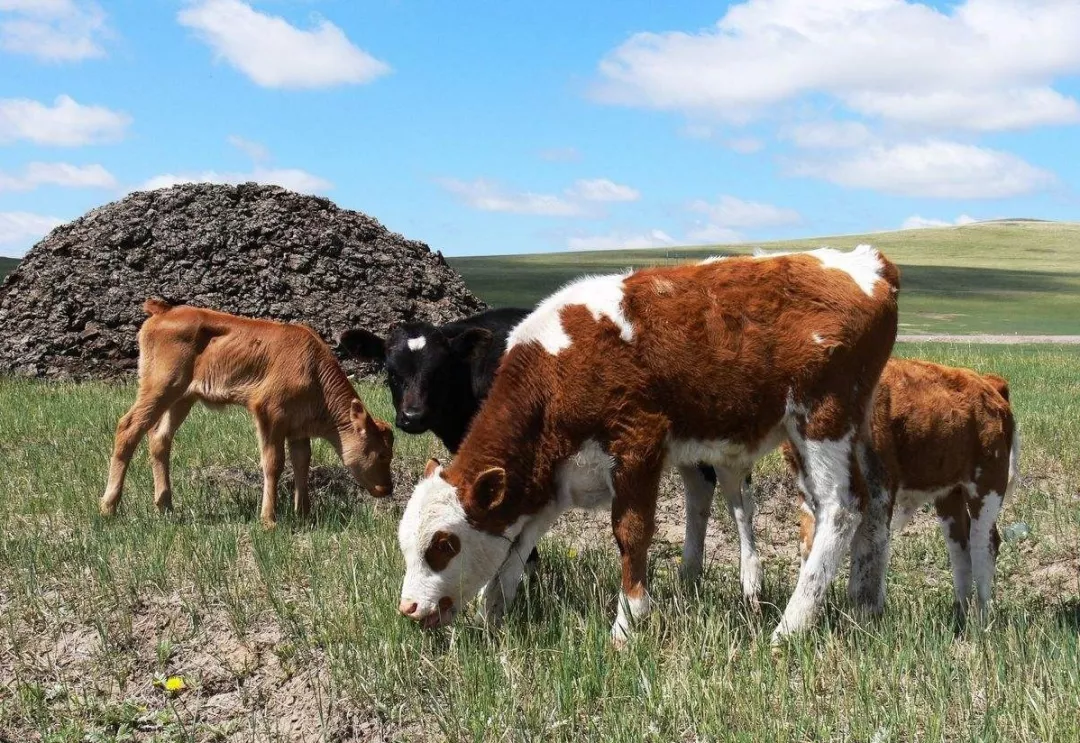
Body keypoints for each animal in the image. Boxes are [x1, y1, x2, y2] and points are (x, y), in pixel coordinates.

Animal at [100, 298, 397, 524]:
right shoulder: (268, 413)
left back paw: (166, 506)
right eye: (382, 454)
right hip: (160, 386)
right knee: (128, 427)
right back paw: (108, 507)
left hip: (182, 397)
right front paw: (269, 520)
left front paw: (303, 515)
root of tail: (164, 310)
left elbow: (302, 462)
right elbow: (273, 463)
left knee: (160, 438)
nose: (388, 488)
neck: (313, 369)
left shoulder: (298, 428)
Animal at [393, 245, 898, 643]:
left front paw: (628, 622)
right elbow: (517, 545)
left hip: (822, 419)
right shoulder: (554, 478)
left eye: (444, 544)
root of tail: (866, 262)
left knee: (840, 508)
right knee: (872, 505)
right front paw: (494, 613)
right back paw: (864, 605)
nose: (409, 609)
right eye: (406, 544)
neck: (556, 369)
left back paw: (791, 626)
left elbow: (630, 532)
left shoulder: (637, 443)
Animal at [781, 360, 1015, 622]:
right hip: (949, 493)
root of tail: (989, 383)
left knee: (984, 543)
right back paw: (960, 617)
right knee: (960, 548)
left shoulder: (878, 488)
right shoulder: (810, 491)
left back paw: (981, 619)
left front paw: (865, 617)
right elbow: (810, 547)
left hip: (987, 483)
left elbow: (869, 555)